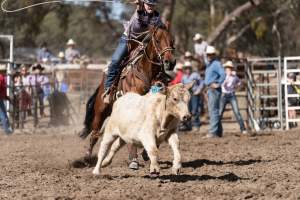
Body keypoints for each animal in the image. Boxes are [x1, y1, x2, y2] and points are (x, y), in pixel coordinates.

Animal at [83, 25, 176, 159]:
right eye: (157, 41)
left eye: (172, 40)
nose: (170, 62)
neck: (147, 74)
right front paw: (135, 159)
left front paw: (146, 153)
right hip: (100, 111)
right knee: (95, 134)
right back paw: (87, 157)